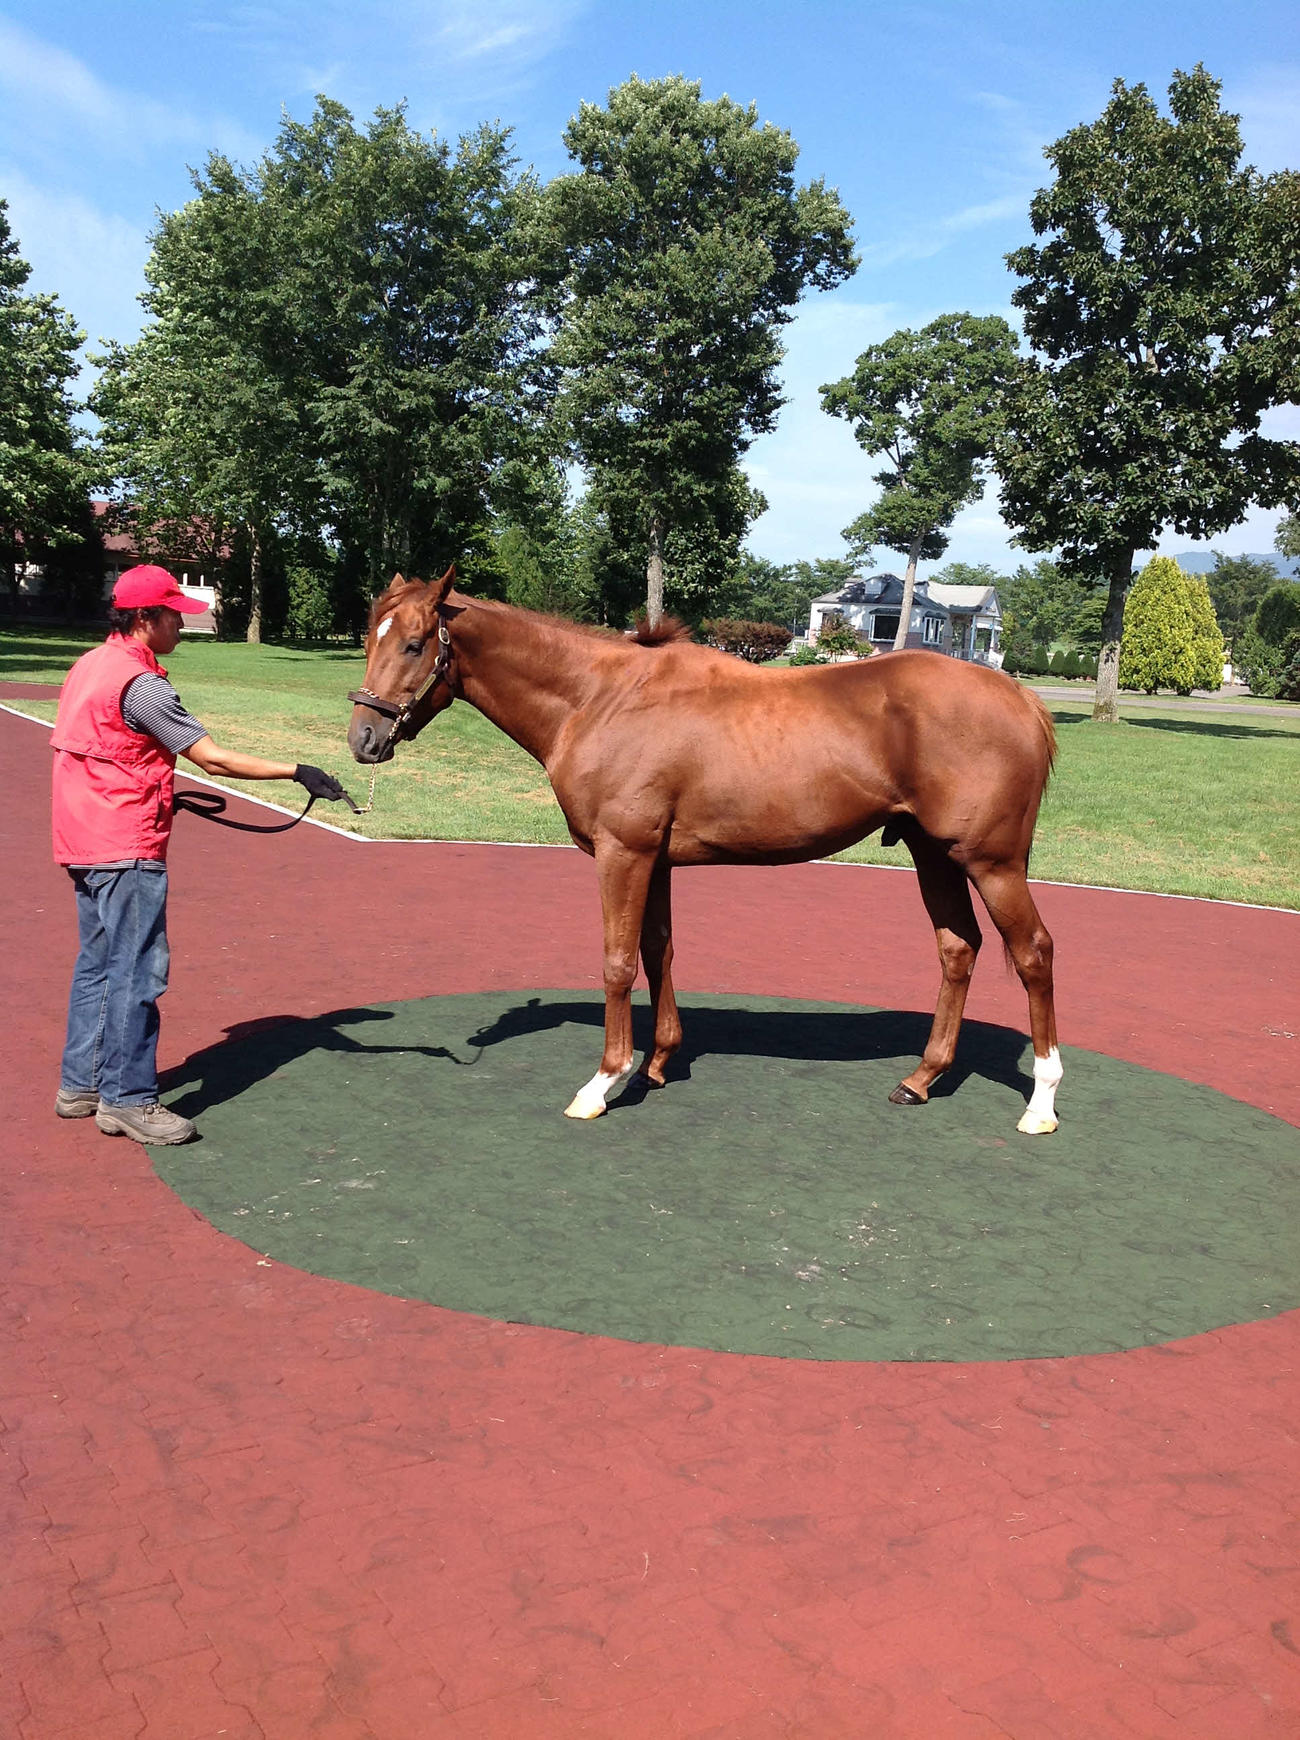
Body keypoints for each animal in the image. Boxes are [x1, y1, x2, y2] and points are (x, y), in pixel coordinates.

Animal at [347, 568, 1063, 1135]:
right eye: (369, 639)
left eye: (414, 644)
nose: (363, 738)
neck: (601, 698)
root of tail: (1022, 699)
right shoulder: (656, 859)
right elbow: (658, 951)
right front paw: (658, 1063)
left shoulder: (623, 853)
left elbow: (617, 962)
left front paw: (604, 1081)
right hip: (933, 853)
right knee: (958, 949)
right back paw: (922, 1078)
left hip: (992, 864)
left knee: (1033, 953)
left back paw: (1042, 1102)